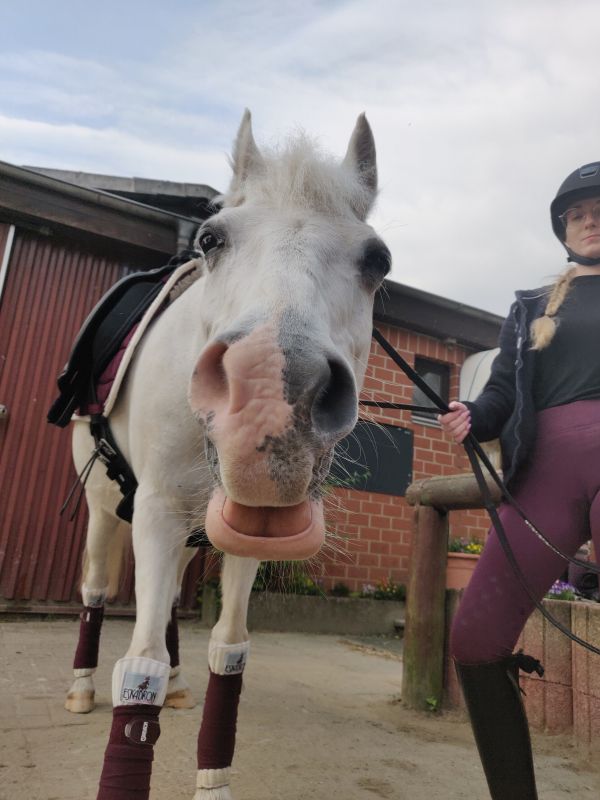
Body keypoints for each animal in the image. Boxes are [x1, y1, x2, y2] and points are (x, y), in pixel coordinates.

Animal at [66, 109, 391, 800]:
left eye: (378, 260)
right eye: (211, 240)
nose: (271, 394)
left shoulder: (247, 529)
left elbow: (228, 648)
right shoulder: (155, 511)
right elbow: (139, 665)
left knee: (165, 608)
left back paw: (178, 686)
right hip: (106, 508)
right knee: (98, 590)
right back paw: (80, 687)